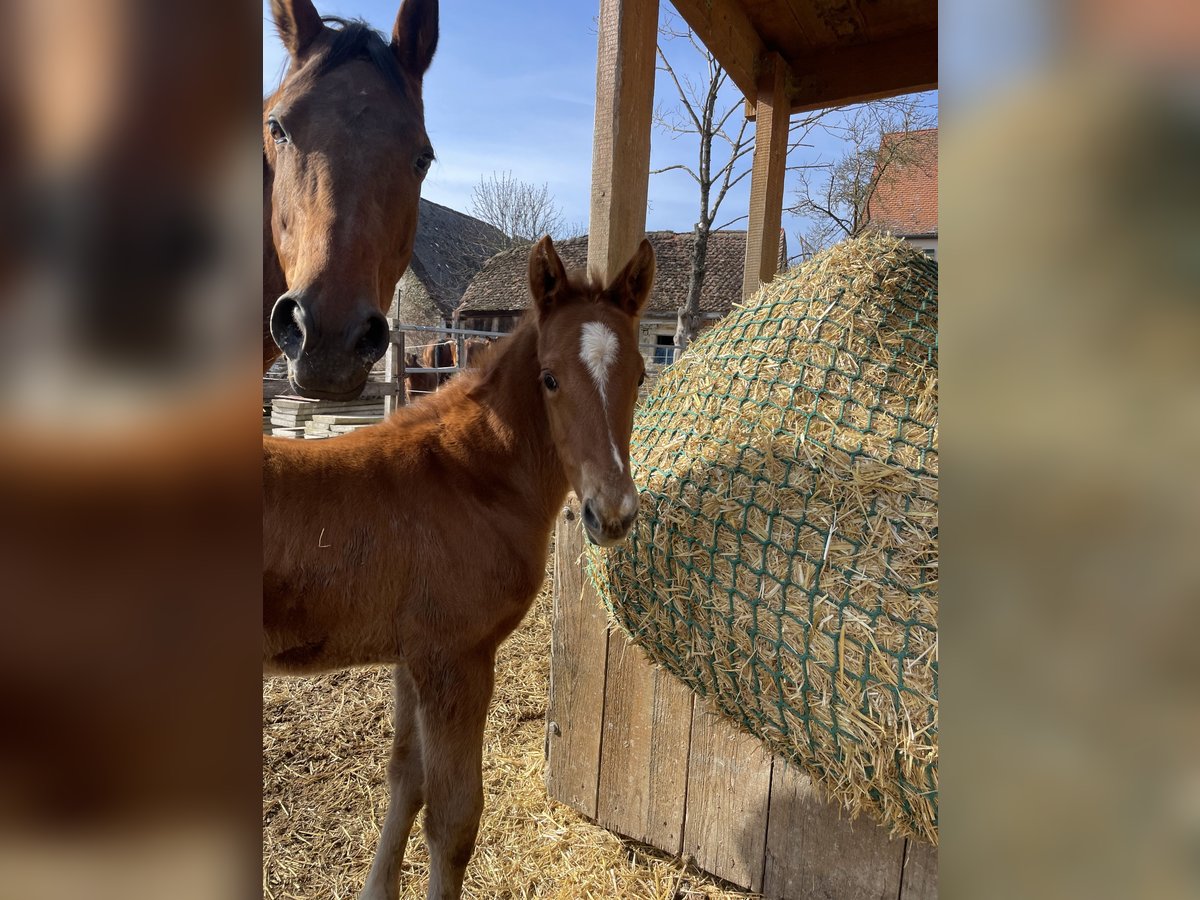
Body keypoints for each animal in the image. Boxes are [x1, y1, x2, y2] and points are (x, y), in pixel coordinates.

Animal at [264, 236, 657, 897]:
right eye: (549, 378)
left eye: (641, 373)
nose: (613, 513)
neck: (469, 479)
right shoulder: (457, 660)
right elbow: (454, 821)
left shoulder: (411, 658)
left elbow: (406, 779)